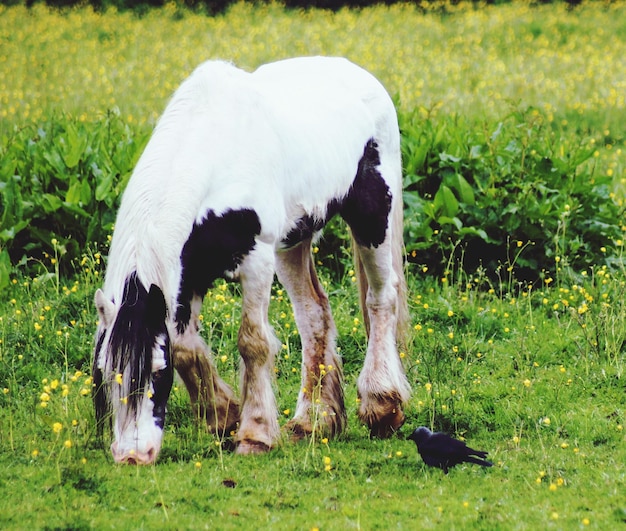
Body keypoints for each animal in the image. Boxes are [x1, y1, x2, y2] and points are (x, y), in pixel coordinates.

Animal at [91, 57, 410, 466]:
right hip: (293, 241)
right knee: (314, 314)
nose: (132, 455)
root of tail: (360, 74)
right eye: (106, 370)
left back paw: (382, 405)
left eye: (158, 372)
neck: (216, 152)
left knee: (381, 300)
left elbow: (252, 342)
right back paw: (313, 421)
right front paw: (222, 415)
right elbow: (185, 346)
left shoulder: (256, 259)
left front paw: (254, 434)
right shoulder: (189, 271)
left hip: (372, 217)